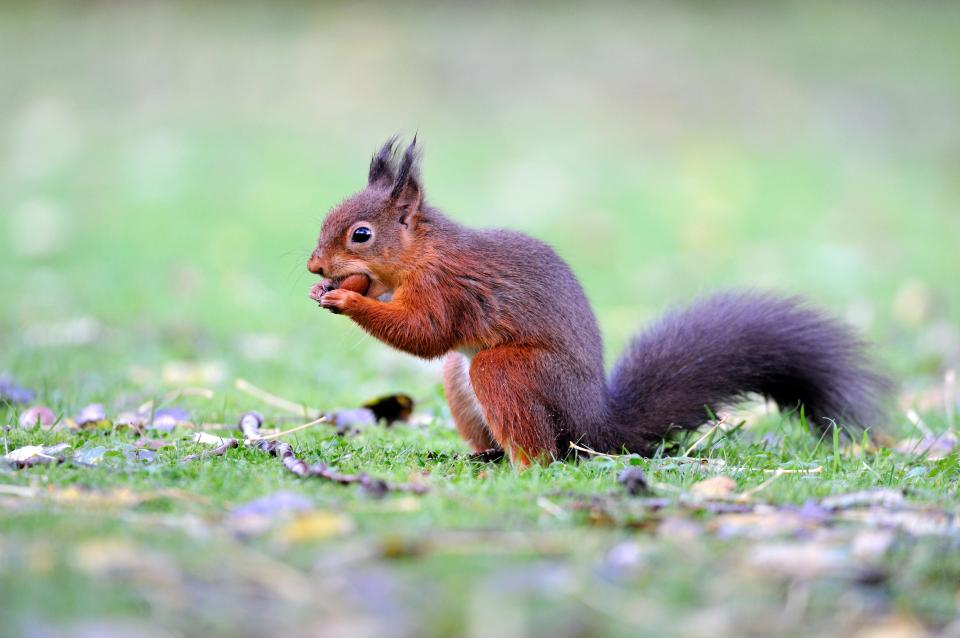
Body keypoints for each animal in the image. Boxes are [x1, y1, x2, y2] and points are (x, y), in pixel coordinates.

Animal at [308, 138, 892, 468]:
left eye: (360, 234)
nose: (314, 267)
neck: (423, 252)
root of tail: (599, 423)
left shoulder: (446, 287)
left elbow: (424, 332)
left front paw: (347, 298)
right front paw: (336, 290)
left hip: (510, 372)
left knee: (547, 450)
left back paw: (520, 467)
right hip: (463, 378)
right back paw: (481, 454)